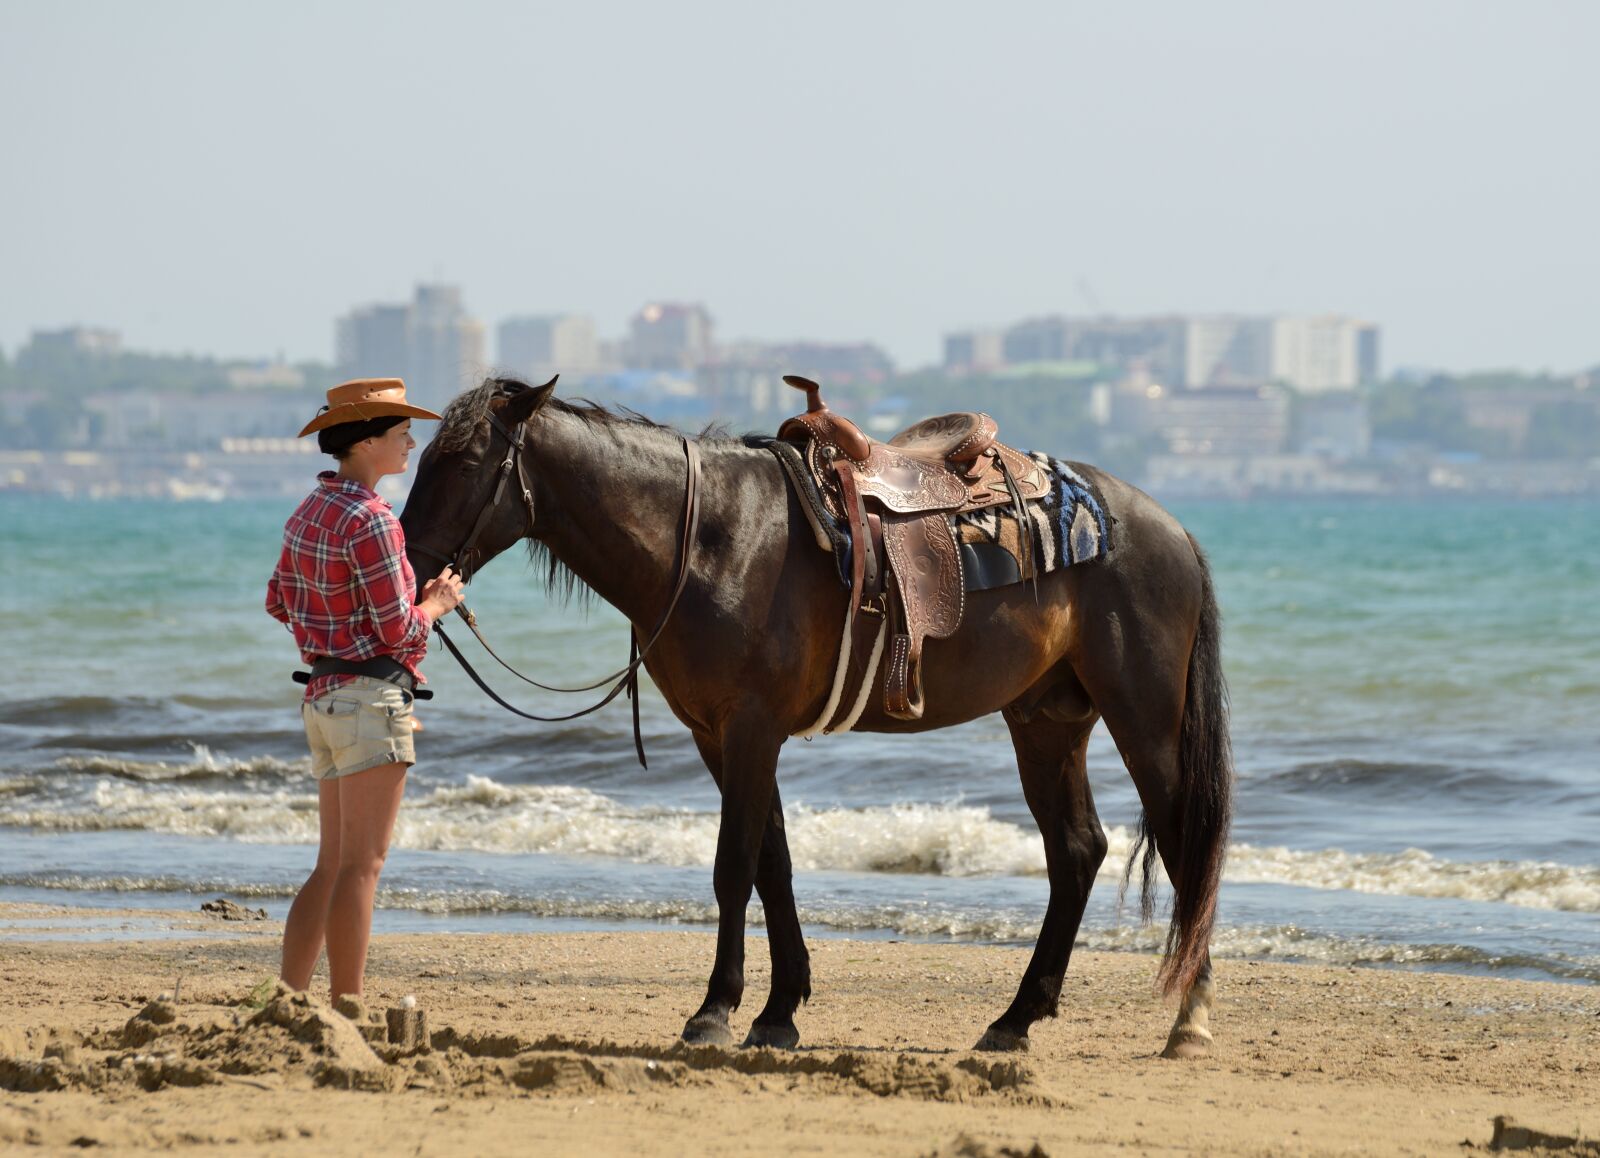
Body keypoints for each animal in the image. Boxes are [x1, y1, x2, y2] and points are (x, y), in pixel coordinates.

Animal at [398, 375, 1232, 1059]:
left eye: (464, 461)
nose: (407, 561)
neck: (709, 539)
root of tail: (1170, 528)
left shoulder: (750, 728)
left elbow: (734, 866)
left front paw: (715, 1011)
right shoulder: (719, 735)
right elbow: (774, 863)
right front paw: (778, 1011)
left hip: (1143, 717)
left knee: (1183, 841)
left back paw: (1190, 1020)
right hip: (1046, 720)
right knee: (1077, 851)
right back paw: (1016, 1018)